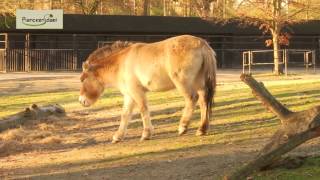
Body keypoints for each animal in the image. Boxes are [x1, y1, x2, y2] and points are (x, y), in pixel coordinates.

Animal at [79, 34, 216, 143]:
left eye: (82, 79)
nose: (81, 101)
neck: (121, 63)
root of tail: (202, 44)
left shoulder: (137, 92)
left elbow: (143, 109)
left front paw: (146, 134)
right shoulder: (129, 95)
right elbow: (125, 115)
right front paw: (118, 137)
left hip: (183, 83)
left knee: (192, 99)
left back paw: (183, 127)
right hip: (199, 84)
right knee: (203, 101)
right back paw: (202, 129)